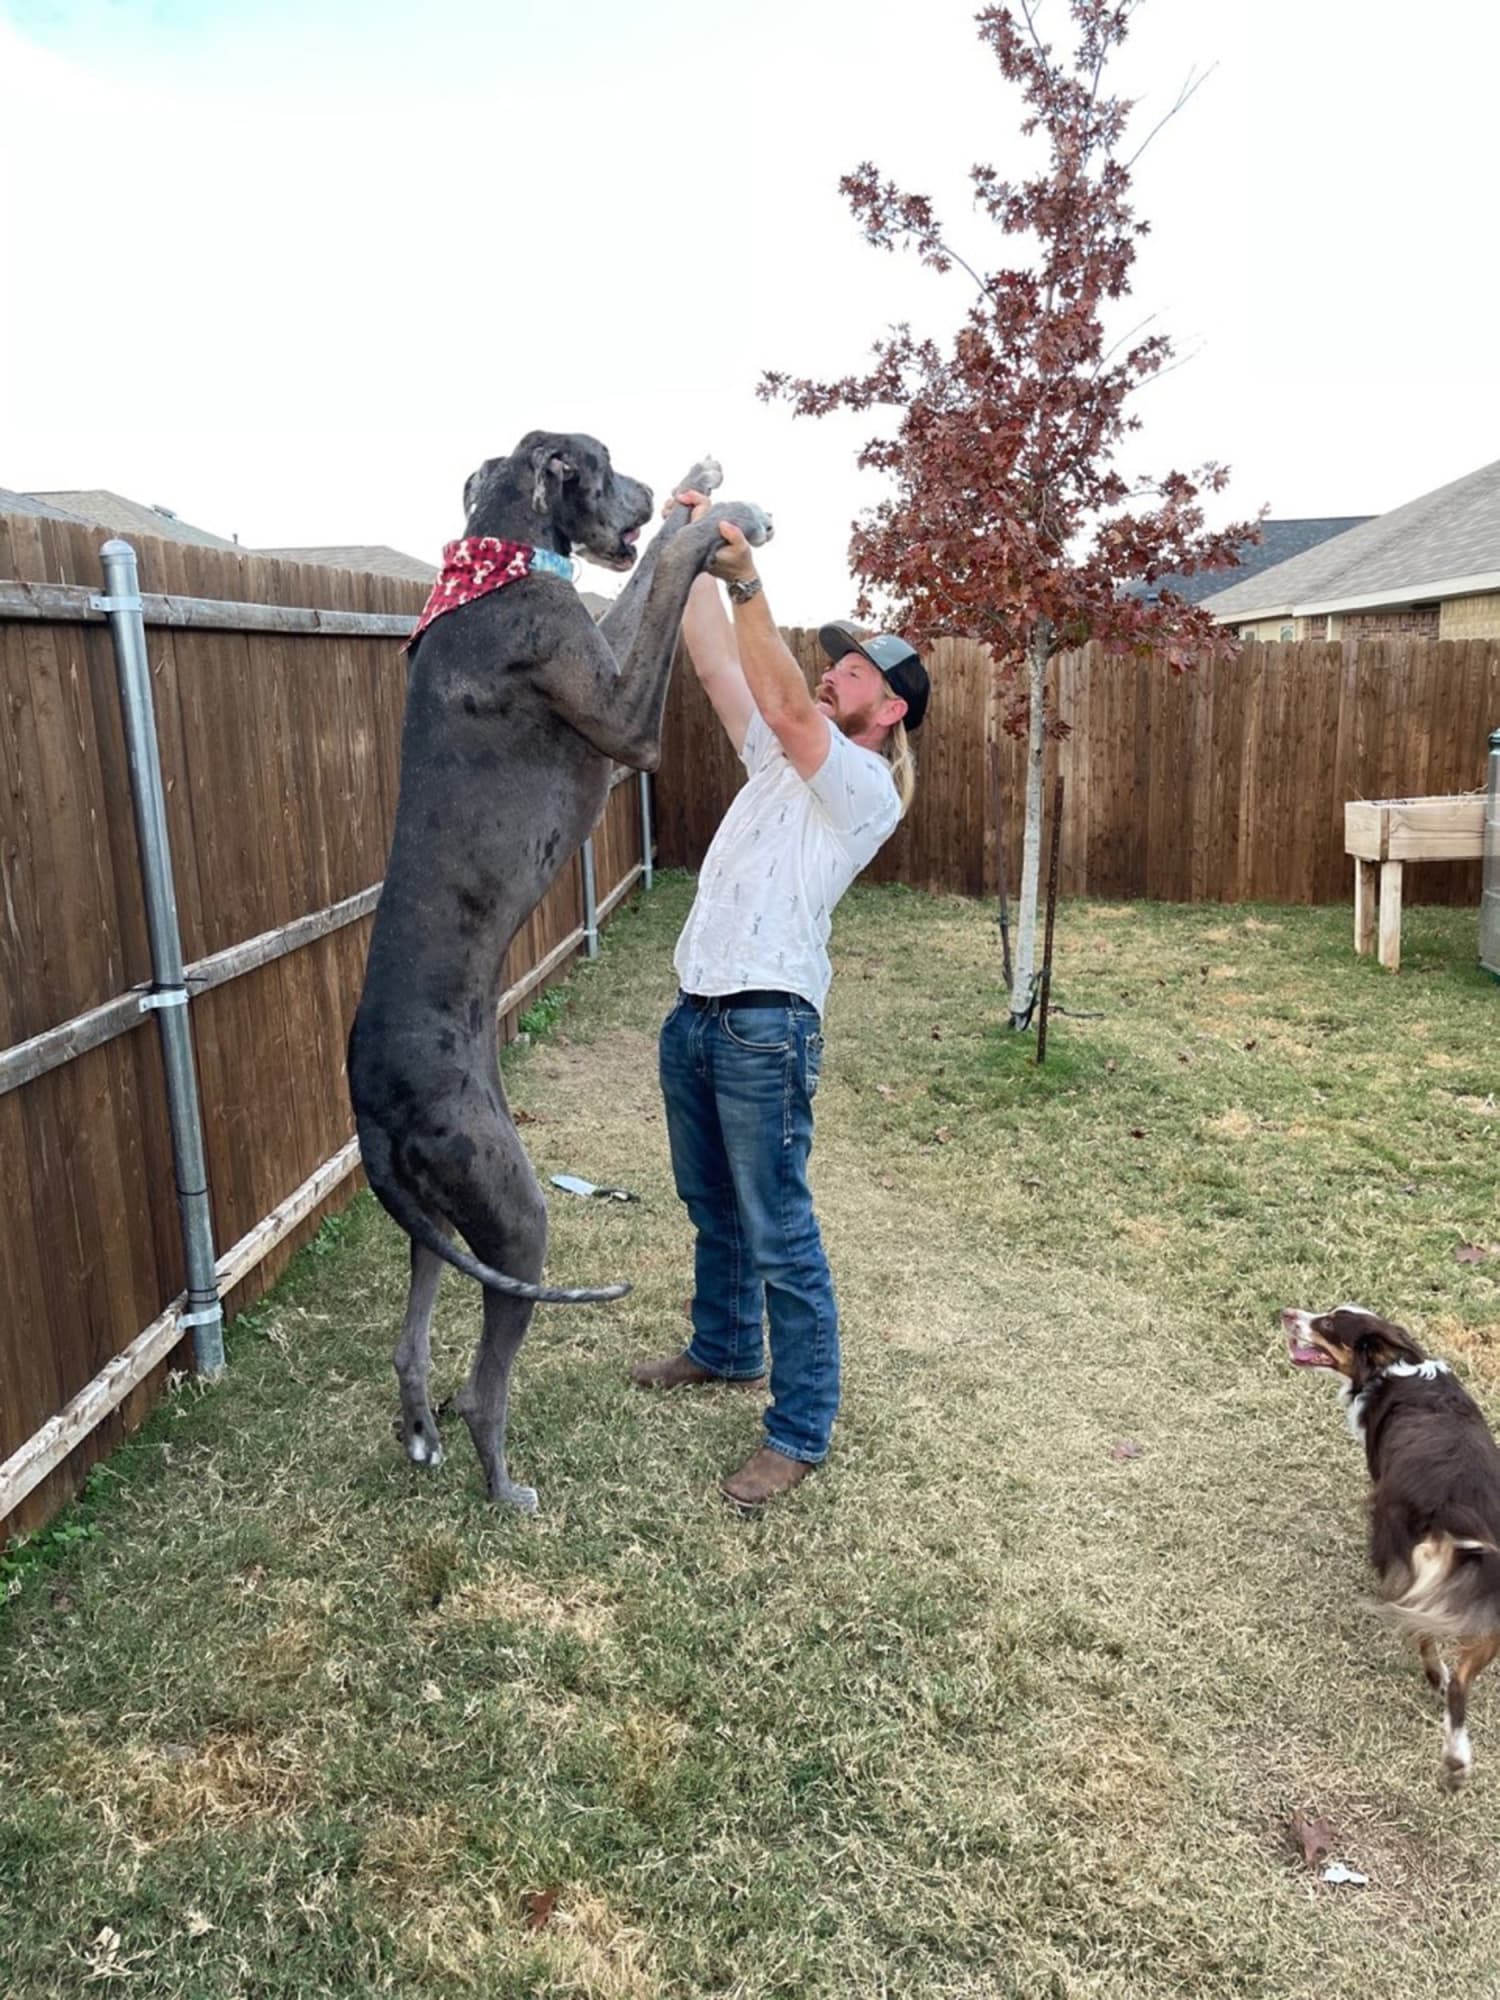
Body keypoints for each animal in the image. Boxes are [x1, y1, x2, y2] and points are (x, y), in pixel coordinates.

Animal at [352, 430, 776, 1504]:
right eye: (607, 462)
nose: (646, 488)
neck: (498, 558)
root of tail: (371, 1116)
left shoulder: (606, 657)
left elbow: (644, 578)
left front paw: (700, 490)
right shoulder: (621, 712)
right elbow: (666, 571)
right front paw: (722, 519)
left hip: (441, 1212)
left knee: (411, 1344)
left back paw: (419, 1432)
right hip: (514, 1214)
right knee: (480, 1387)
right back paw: (504, 1486)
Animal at [1288, 1304, 1500, 1792]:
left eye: (1328, 1323)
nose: (1288, 1313)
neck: (1394, 1369)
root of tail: (1455, 1509)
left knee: (1425, 1639)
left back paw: (1435, 1680)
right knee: (1460, 1683)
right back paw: (1457, 1762)